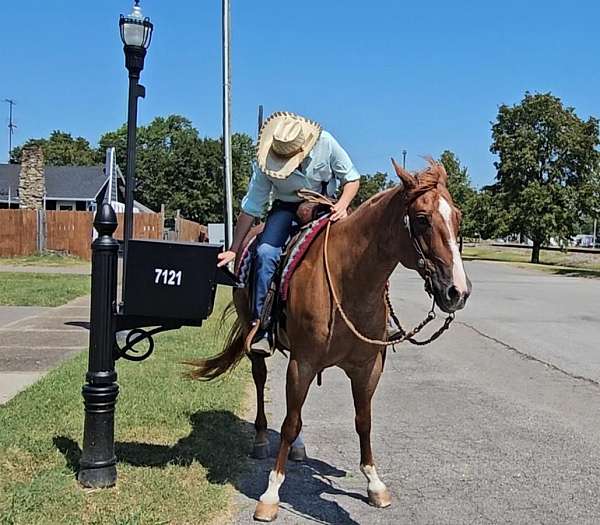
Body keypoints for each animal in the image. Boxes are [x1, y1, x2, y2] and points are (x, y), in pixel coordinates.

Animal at [190, 159, 472, 520]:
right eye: (422, 218)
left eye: (457, 216)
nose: (457, 291)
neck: (348, 279)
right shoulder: (304, 363)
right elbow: (288, 422)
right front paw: (270, 494)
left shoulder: (366, 368)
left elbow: (363, 421)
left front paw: (374, 484)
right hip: (259, 344)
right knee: (261, 380)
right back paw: (260, 440)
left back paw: (297, 448)